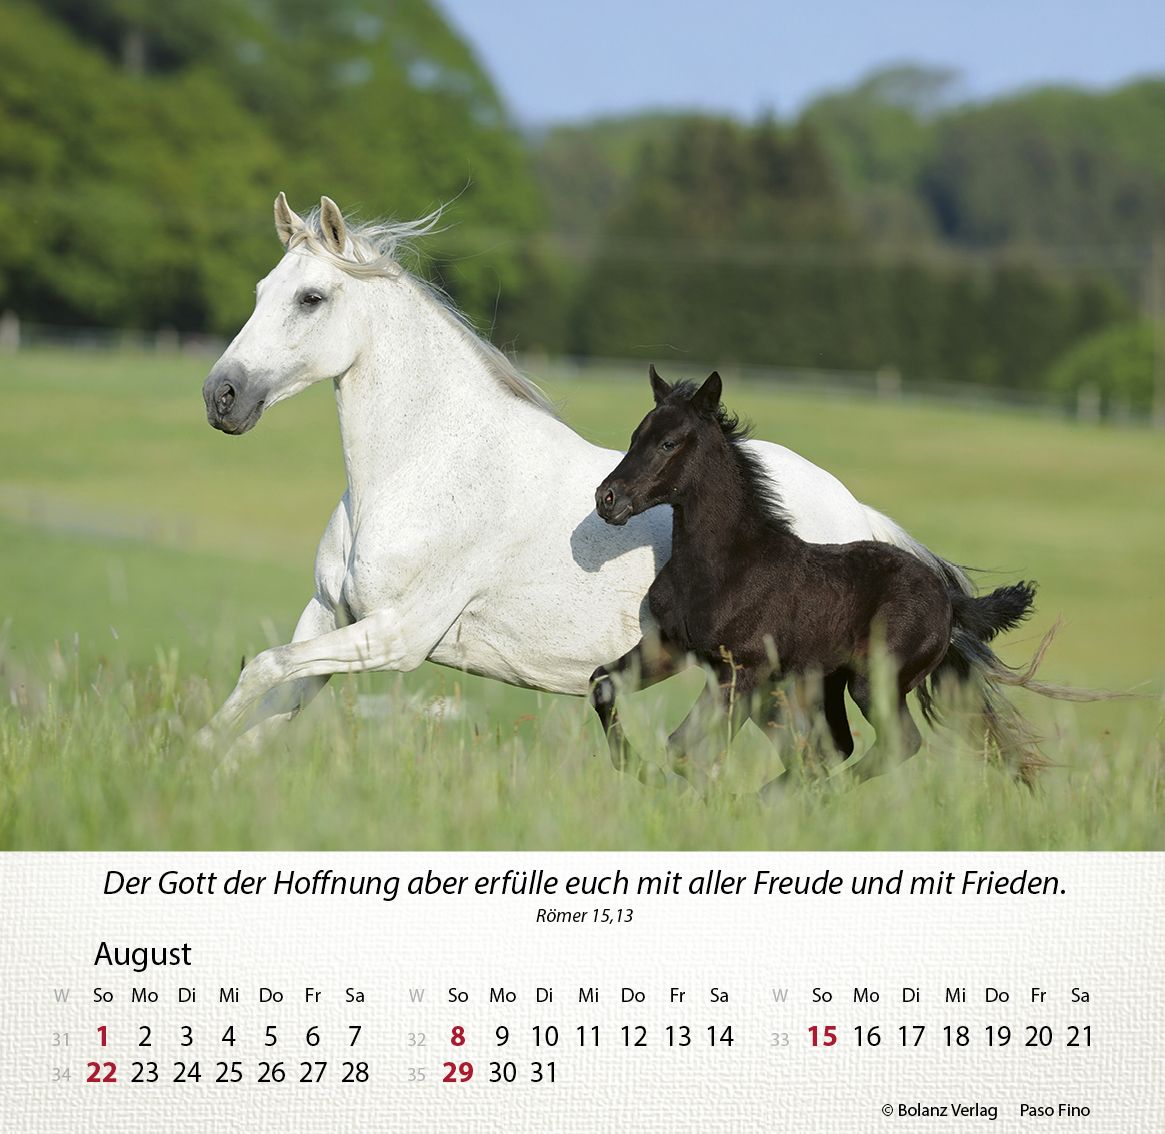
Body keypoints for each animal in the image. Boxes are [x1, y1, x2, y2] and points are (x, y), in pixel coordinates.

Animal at [195, 193, 971, 762]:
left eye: (311, 298)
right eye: (262, 290)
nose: (220, 396)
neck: (423, 468)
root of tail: (865, 522)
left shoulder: (398, 637)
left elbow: (262, 667)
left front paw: (187, 756)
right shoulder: (329, 617)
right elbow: (265, 702)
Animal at [589, 368, 1062, 789]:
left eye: (668, 443)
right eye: (634, 438)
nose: (607, 498)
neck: (724, 565)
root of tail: (949, 598)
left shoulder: (742, 669)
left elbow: (686, 748)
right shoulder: (670, 647)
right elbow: (603, 686)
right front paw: (640, 769)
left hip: (874, 682)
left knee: (896, 743)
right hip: (827, 681)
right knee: (830, 748)